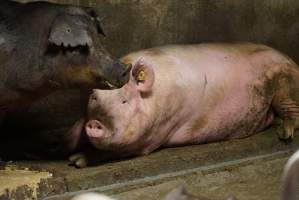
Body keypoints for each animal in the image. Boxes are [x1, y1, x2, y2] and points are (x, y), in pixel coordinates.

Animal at [69, 43, 299, 167]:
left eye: (124, 101)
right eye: (94, 98)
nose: (95, 123)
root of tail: (290, 59)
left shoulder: (154, 135)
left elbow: (120, 150)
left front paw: (76, 161)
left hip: (285, 83)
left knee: (292, 112)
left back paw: (284, 135)